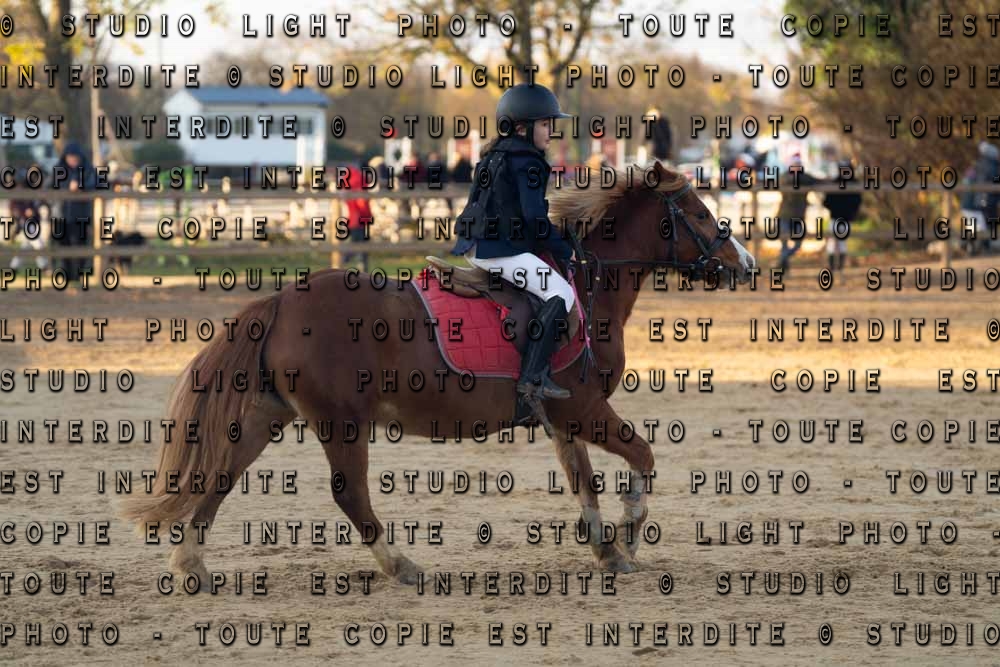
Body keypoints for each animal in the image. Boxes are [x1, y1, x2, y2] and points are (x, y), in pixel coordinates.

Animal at [119, 160, 756, 584]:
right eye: (700, 214)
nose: (747, 265)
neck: (588, 284)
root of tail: (281, 301)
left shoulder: (563, 421)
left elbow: (584, 483)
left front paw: (607, 550)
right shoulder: (584, 408)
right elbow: (642, 458)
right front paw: (630, 533)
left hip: (265, 415)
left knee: (221, 476)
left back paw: (191, 565)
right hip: (341, 422)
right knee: (350, 495)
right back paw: (402, 565)